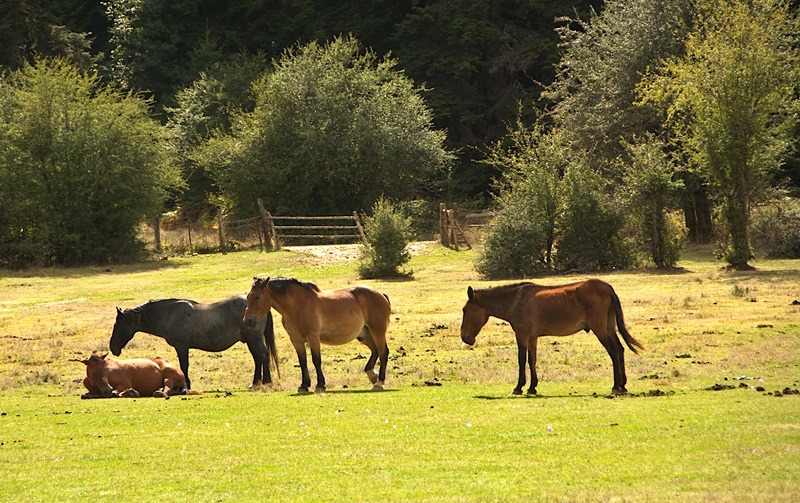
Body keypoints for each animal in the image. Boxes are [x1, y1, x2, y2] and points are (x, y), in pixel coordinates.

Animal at [109, 296, 278, 390]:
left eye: (118, 325)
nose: (113, 347)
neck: (169, 315)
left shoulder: (182, 347)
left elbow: (184, 366)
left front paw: (187, 384)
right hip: (250, 340)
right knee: (258, 359)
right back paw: (255, 383)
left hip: (255, 339)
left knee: (263, 356)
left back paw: (267, 382)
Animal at [245, 280, 392, 394]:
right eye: (247, 297)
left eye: (257, 297)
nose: (248, 321)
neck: (297, 305)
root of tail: (381, 295)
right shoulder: (296, 340)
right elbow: (303, 362)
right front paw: (304, 385)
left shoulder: (313, 337)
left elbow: (316, 360)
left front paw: (320, 385)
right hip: (364, 335)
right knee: (375, 351)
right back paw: (372, 375)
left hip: (377, 332)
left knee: (383, 353)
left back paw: (379, 382)